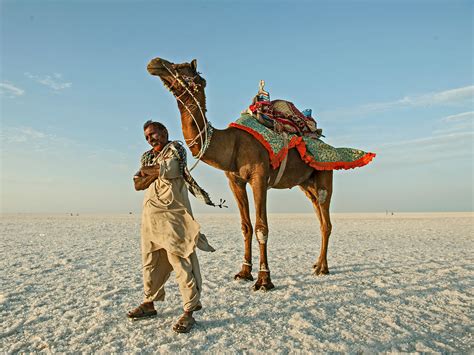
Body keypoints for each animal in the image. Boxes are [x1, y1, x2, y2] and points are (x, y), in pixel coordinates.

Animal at [145, 57, 340, 292]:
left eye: (180, 68)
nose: (155, 62)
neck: (232, 145)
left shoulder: (259, 178)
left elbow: (261, 227)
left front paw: (264, 280)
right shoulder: (235, 181)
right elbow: (245, 226)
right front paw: (244, 272)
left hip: (324, 175)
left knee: (326, 221)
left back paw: (323, 268)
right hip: (306, 184)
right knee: (319, 217)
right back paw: (318, 264)